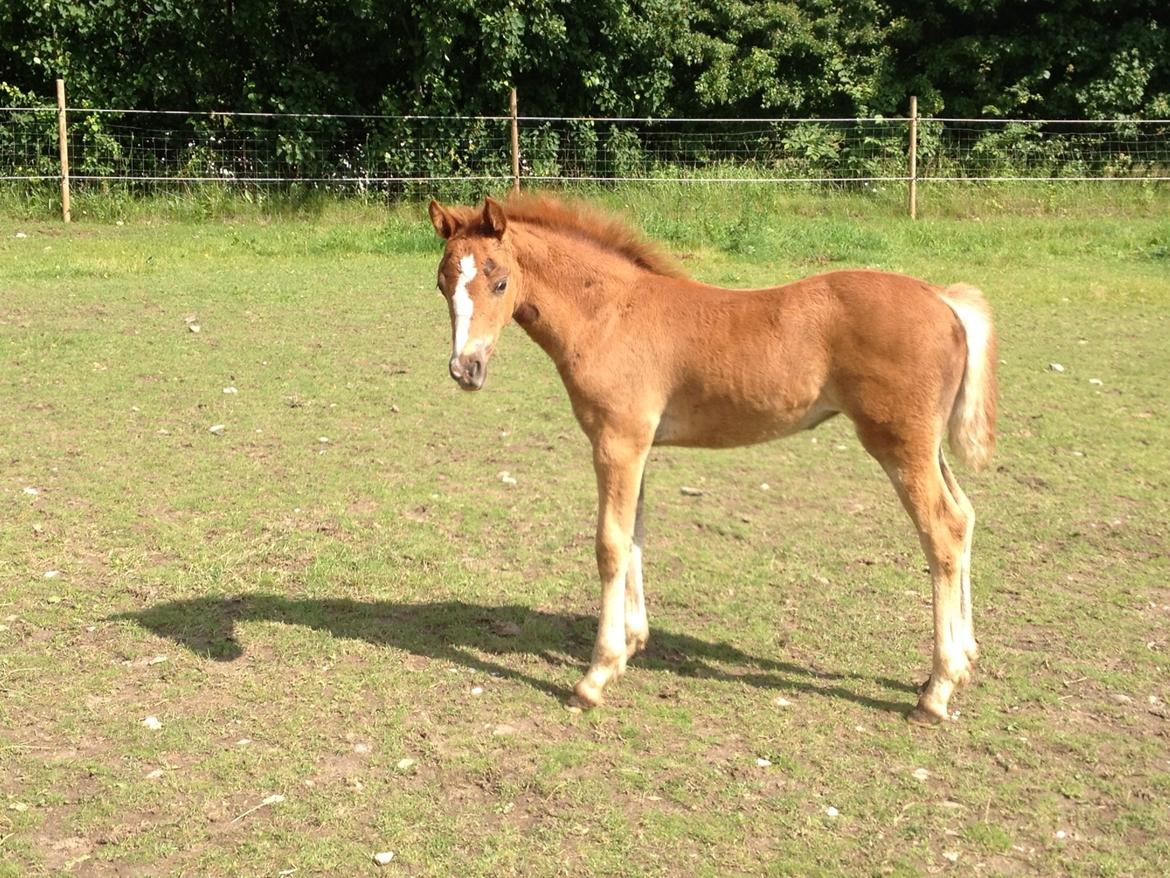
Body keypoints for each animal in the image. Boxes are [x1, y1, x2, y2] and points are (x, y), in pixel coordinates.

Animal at [425, 195, 992, 725]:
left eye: (500, 282)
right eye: (442, 283)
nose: (465, 369)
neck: (609, 314)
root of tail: (943, 300)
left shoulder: (616, 441)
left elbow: (610, 544)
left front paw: (596, 675)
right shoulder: (637, 446)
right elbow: (636, 534)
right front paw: (631, 645)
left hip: (899, 446)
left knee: (941, 530)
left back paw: (936, 691)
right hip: (926, 447)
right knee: (964, 516)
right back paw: (962, 662)